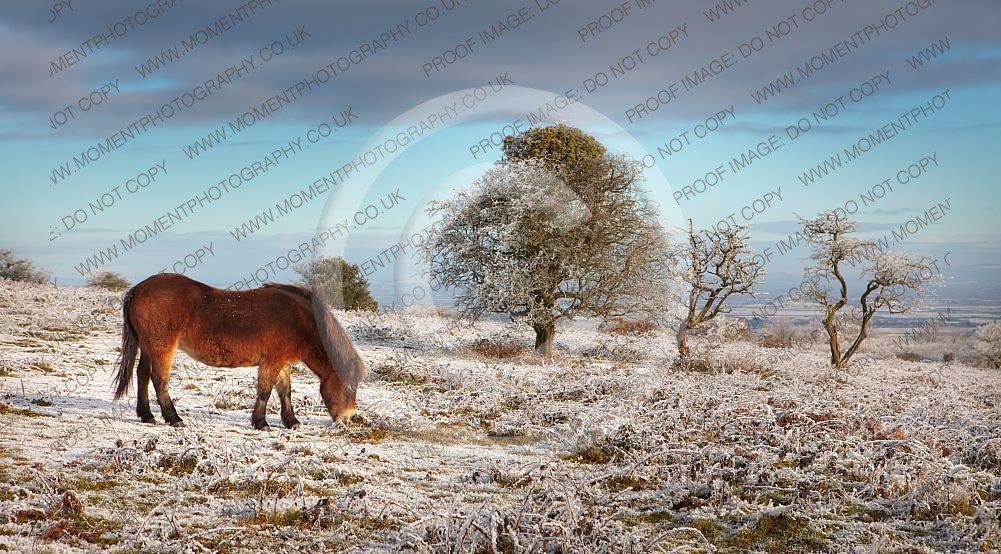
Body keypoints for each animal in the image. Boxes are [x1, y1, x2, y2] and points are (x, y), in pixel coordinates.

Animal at [111, 273, 365, 430]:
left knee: (142, 374)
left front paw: (291, 422)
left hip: (148, 346)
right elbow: (265, 392)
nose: (349, 419)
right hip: (162, 348)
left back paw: (147, 415)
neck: (298, 321)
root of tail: (139, 288)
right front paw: (261, 423)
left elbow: (285, 392)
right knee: (159, 379)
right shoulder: (271, 363)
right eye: (350, 387)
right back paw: (173, 418)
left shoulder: (282, 364)